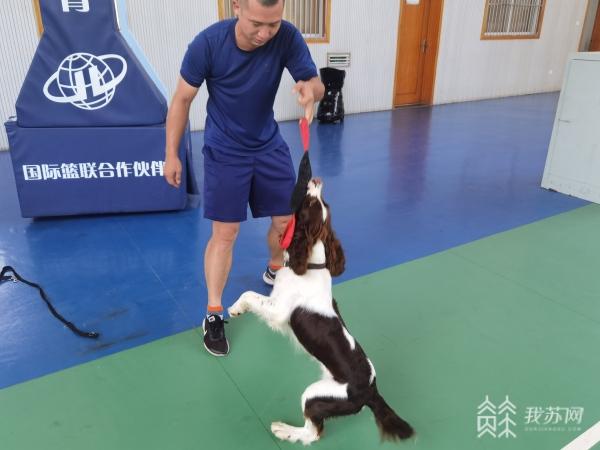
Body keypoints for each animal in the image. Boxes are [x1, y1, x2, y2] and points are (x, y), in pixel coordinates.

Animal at [227, 180, 414, 446]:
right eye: (322, 204)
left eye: (311, 204)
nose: (316, 180)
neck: (309, 263)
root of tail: (372, 391)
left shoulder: (279, 309)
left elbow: (250, 294)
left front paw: (235, 309)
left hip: (317, 395)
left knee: (313, 432)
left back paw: (283, 430)